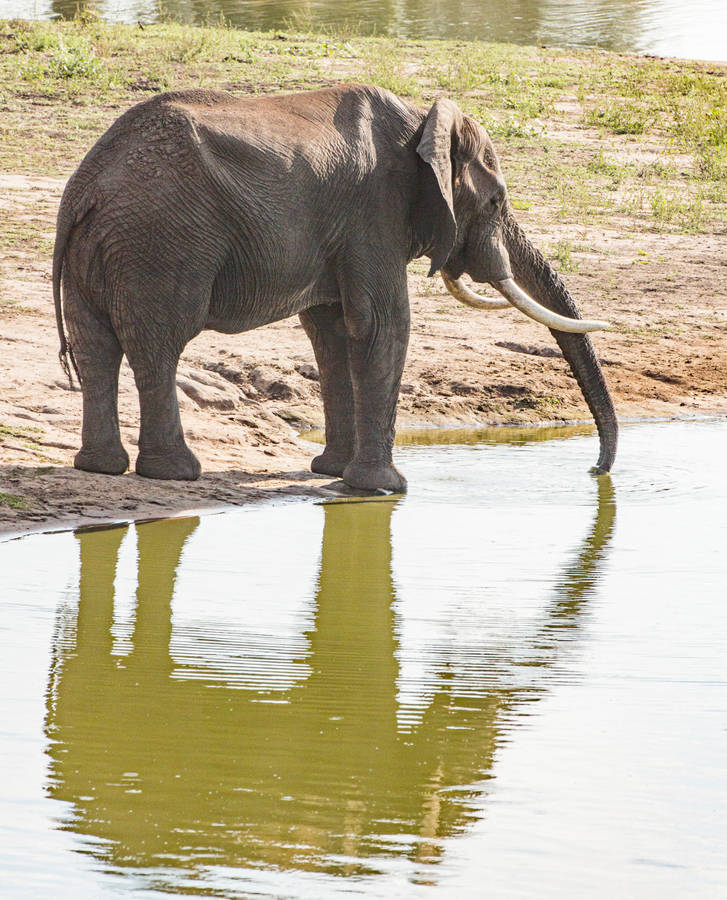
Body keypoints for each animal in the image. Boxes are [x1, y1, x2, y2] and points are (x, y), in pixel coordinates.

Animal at [52, 84, 620, 492]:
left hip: (108, 249)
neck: (423, 122)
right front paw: (385, 489)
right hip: (162, 242)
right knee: (159, 344)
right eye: (498, 201)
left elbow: (332, 331)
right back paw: (174, 473)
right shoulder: (374, 213)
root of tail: (86, 186)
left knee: (96, 346)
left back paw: (102, 468)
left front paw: (331, 472)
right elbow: (383, 326)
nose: (596, 471)